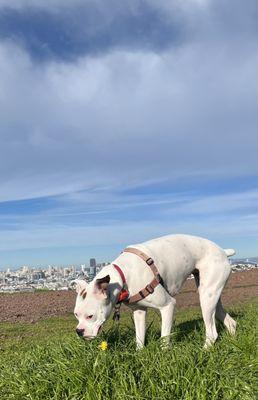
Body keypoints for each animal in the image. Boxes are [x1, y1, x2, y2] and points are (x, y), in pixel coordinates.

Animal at [72, 233, 236, 348]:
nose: (78, 332)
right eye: (76, 315)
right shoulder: (139, 312)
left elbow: (164, 337)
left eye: (90, 316)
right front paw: (139, 355)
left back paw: (204, 351)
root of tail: (223, 251)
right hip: (212, 296)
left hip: (206, 298)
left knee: (212, 333)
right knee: (230, 322)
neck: (122, 275)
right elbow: (139, 339)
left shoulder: (168, 306)